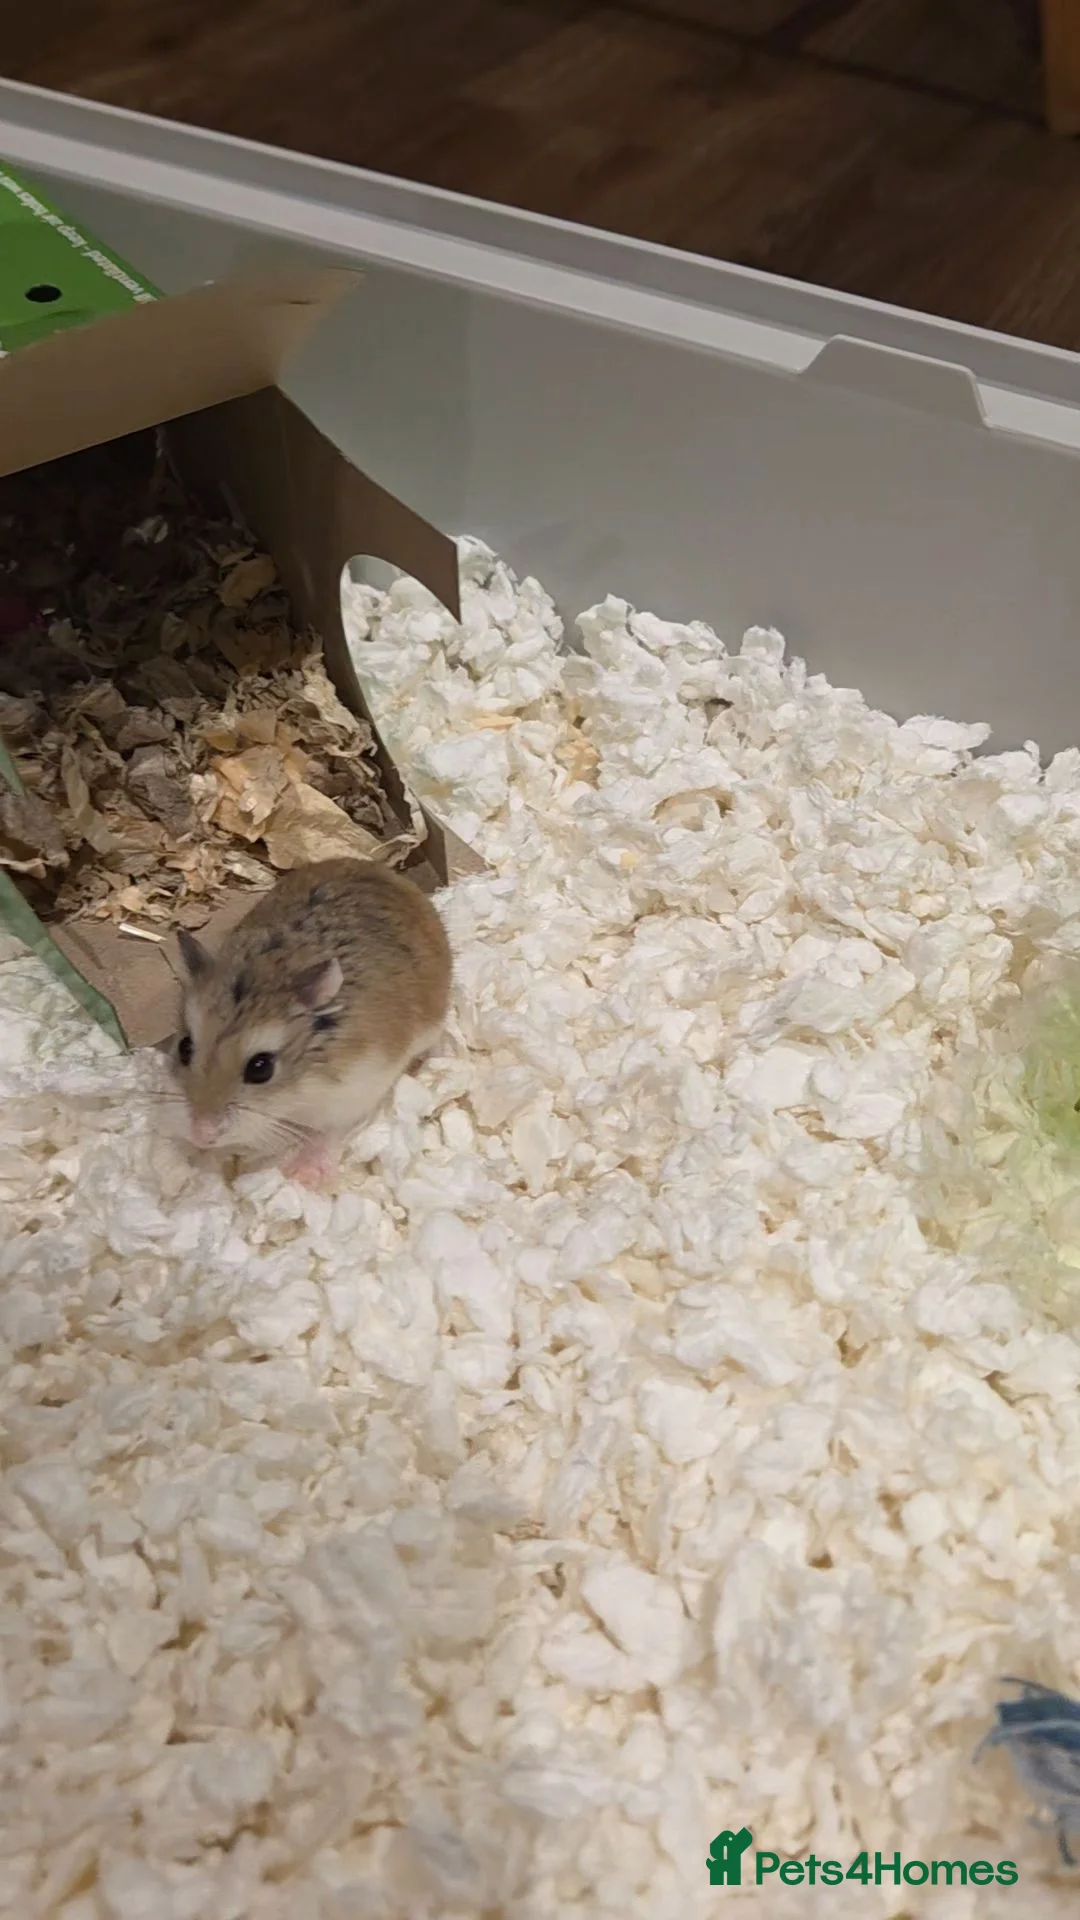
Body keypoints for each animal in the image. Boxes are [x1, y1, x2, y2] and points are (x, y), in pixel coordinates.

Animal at [171, 857, 452, 1189]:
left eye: (261, 1068)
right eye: (184, 1047)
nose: (202, 1134)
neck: (299, 1090)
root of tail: (379, 869)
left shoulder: (356, 1092)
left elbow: (329, 1134)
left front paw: (303, 1177)